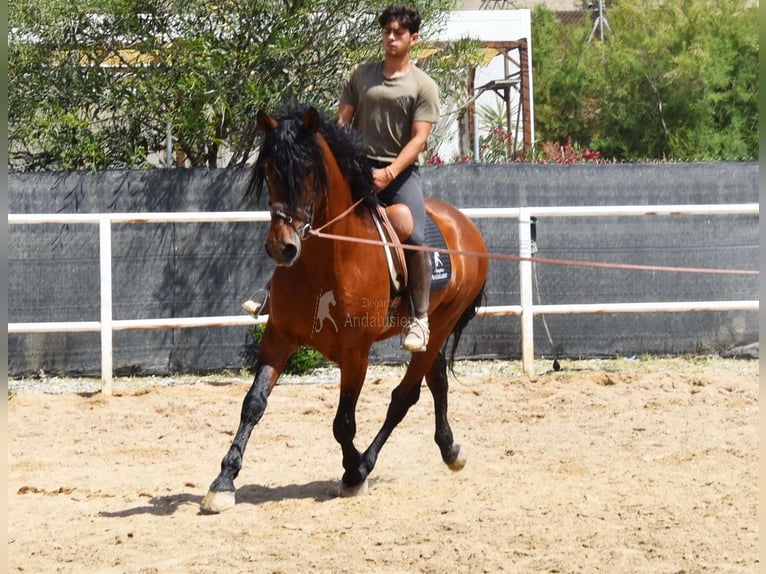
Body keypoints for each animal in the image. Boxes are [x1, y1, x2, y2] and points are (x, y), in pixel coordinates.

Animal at [201, 102, 488, 512]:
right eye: (269, 170)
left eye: (308, 170)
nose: (282, 247)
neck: (327, 261)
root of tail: (464, 225)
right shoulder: (278, 338)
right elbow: (253, 404)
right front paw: (224, 481)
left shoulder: (355, 355)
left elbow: (343, 424)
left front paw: (354, 472)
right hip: (434, 328)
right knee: (436, 382)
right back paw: (450, 450)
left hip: (441, 325)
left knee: (405, 396)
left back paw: (370, 462)